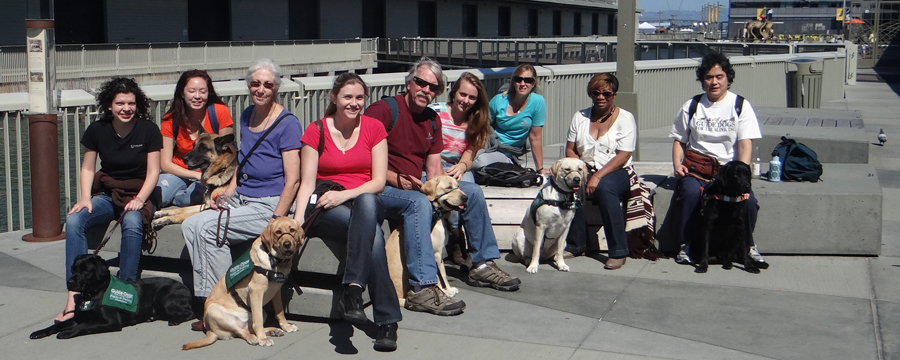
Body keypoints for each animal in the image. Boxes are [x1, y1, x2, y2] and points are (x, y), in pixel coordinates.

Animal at [30, 255, 194, 338]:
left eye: (85, 271)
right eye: (73, 269)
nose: (69, 282)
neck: (93, 294)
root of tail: (186, 288)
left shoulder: (111, 322)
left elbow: (85, 325)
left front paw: (67, 332)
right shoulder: (78, 317)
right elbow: (57, 324)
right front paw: (40, 332)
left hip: (162, 297)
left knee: (189, 313)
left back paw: (175, 319)